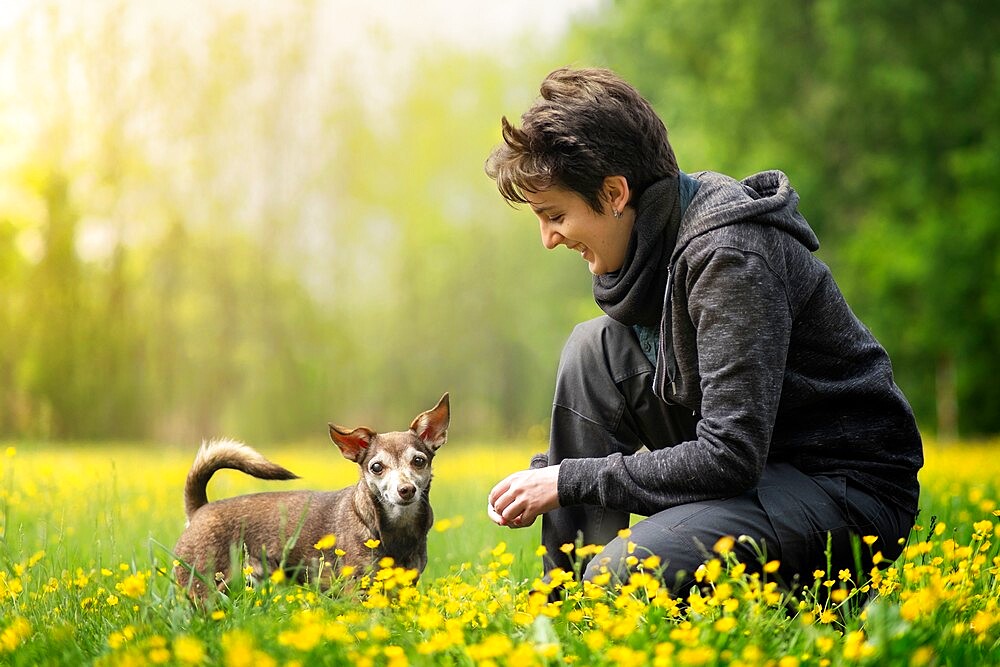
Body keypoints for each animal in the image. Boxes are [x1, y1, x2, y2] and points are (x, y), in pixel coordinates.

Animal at [175, 394, 450, 596]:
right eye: (376, 467)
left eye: (419, 461)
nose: (406, 489)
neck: (396, 527)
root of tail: (200, 509)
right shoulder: (357, 589)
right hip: (206, 588)